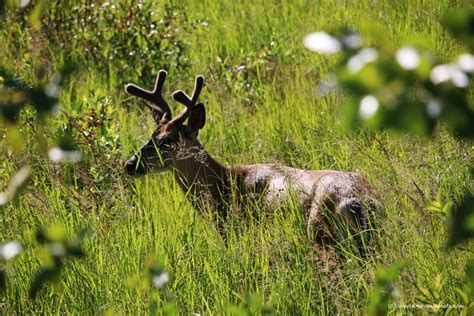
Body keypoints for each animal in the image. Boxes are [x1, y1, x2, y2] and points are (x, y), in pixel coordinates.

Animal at [124, 69, 380, 254]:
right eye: (151, 136)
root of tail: (358, 202)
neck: (222, 184)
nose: (129, 164)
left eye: (167, 140)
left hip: (319, 230)